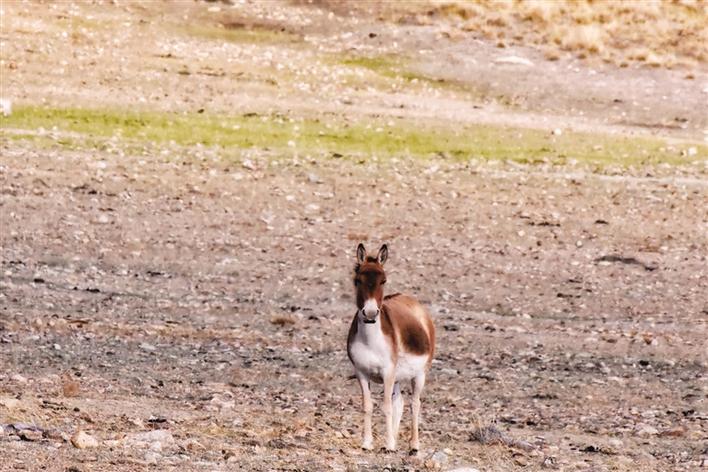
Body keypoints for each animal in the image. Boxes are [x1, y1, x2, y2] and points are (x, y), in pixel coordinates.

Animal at [347, 243, 435, 454]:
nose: (370, 314)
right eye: (358, 280)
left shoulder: (387, 372)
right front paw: (367, 443)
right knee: (400, 403)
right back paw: (395, 440)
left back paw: (413, 445)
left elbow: (385, 406)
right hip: (398, 377)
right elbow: (368, 406)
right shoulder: (361, 372)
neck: (370, 341)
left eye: (383, 280)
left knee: (414, 404)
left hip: (419, 374)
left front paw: (388, 445)